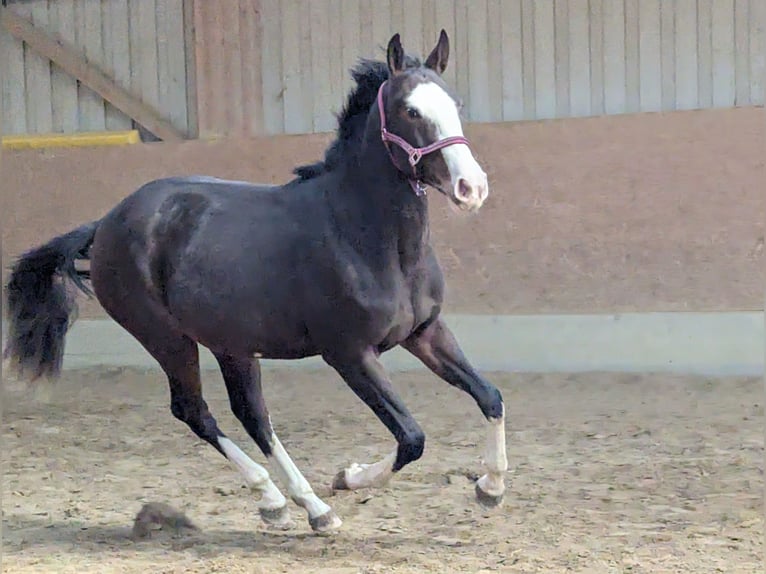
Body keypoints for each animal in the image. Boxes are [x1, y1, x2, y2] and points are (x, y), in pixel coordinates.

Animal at [4, 30, 508, 533]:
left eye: (456, 104)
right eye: (410, 110)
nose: (472, 188)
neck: (364, 235)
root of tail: (105, 224)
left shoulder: (425, 333)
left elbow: (490, 397)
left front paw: (490, 488)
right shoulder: (349, 354)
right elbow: (412, 437)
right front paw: (348, 478)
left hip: (231, 345)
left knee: (252, 415)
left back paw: (288, 503)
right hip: (166, 338)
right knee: (196, 411)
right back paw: (307, 506)